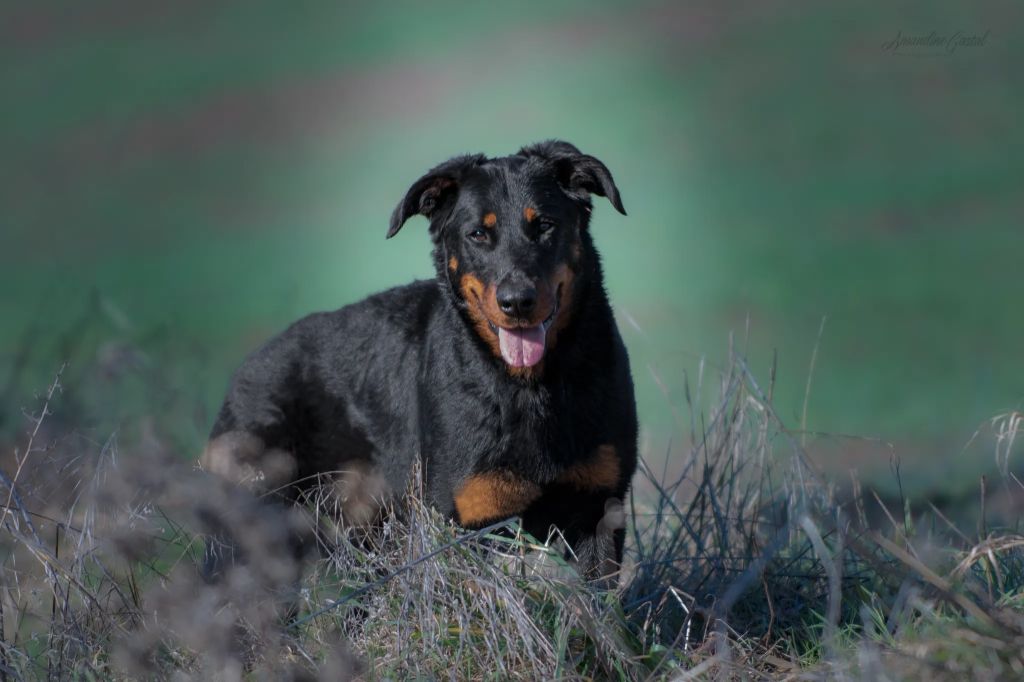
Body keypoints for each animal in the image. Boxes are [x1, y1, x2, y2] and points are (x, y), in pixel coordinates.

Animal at [201, 138, 638, 577]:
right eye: (477, 234)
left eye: (545, 225)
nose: (517, 301)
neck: (528, 385)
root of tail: (243, 371)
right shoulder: (467, 518)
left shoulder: (598, 511)